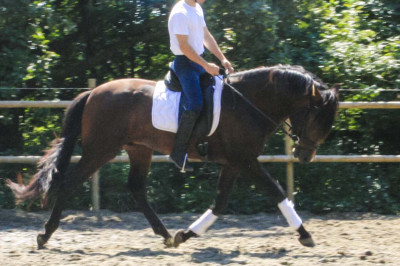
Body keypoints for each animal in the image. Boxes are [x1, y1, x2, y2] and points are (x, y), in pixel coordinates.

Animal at [6, 64, 338, 249]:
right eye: (315, 118)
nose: (305, 155)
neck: (247, 103)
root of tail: (93, 93)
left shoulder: (234, 163)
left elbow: (220, 203)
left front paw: (185, 235)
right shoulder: (246, 161)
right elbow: (278, 193)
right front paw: (305, 235)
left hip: (138, 149)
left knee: (137, 189)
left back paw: (165, 234)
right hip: (100, 150)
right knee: (70, 183)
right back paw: (44, 235)